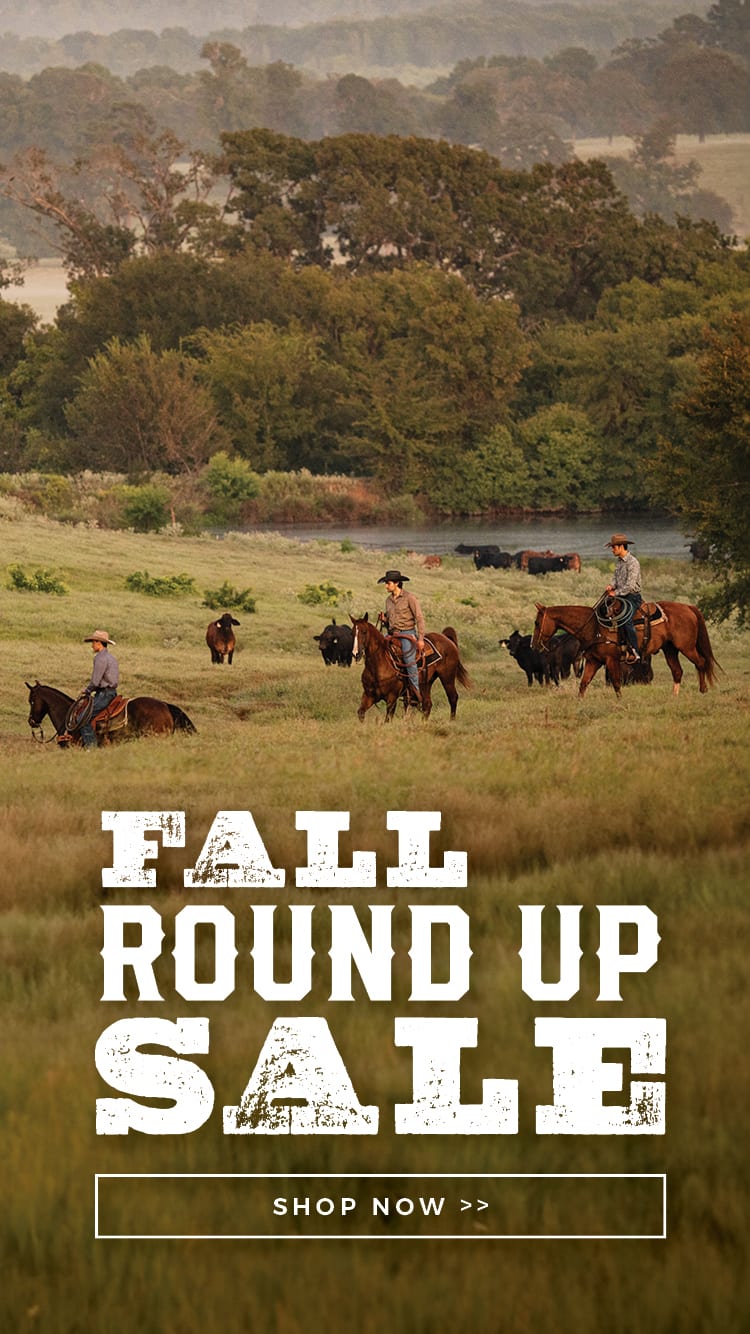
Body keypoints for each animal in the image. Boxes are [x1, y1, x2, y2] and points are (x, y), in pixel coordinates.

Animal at [528, 602, 715, 704]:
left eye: (537, 623)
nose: (533, 645)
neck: (594, 626)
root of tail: (688, 607)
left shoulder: (611, 660)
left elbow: (616, 682)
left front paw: (620, 702)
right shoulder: (594, 661)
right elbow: (584, 683)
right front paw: (579, 702)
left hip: (686, 647)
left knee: (701, 663)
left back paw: (703, 690)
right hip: (670, 649)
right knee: (677, 671)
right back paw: (674, 696)